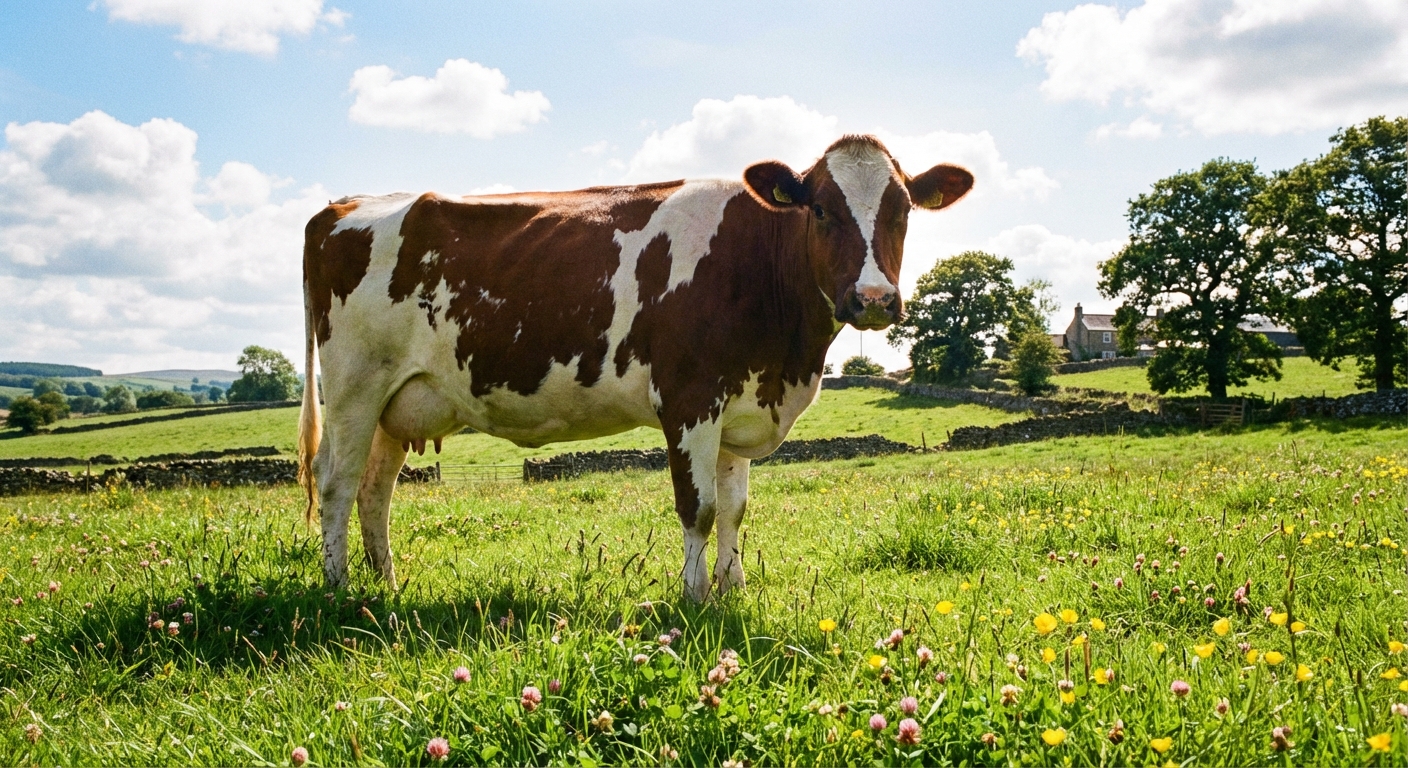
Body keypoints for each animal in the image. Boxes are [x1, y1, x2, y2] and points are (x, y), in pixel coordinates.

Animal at [298, 134, 973, 602]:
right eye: (823, 211)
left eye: (903, 212)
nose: (875, 299)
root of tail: (341, 206)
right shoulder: (690, 398)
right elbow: (698, 507)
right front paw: (695, 599)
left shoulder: (737, 406)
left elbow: (733, 508)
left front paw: (733, 591)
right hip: (355, 386)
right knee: (335, 482)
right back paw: (338, 590)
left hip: (399, 402)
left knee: (374, 491)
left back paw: (386, 587)